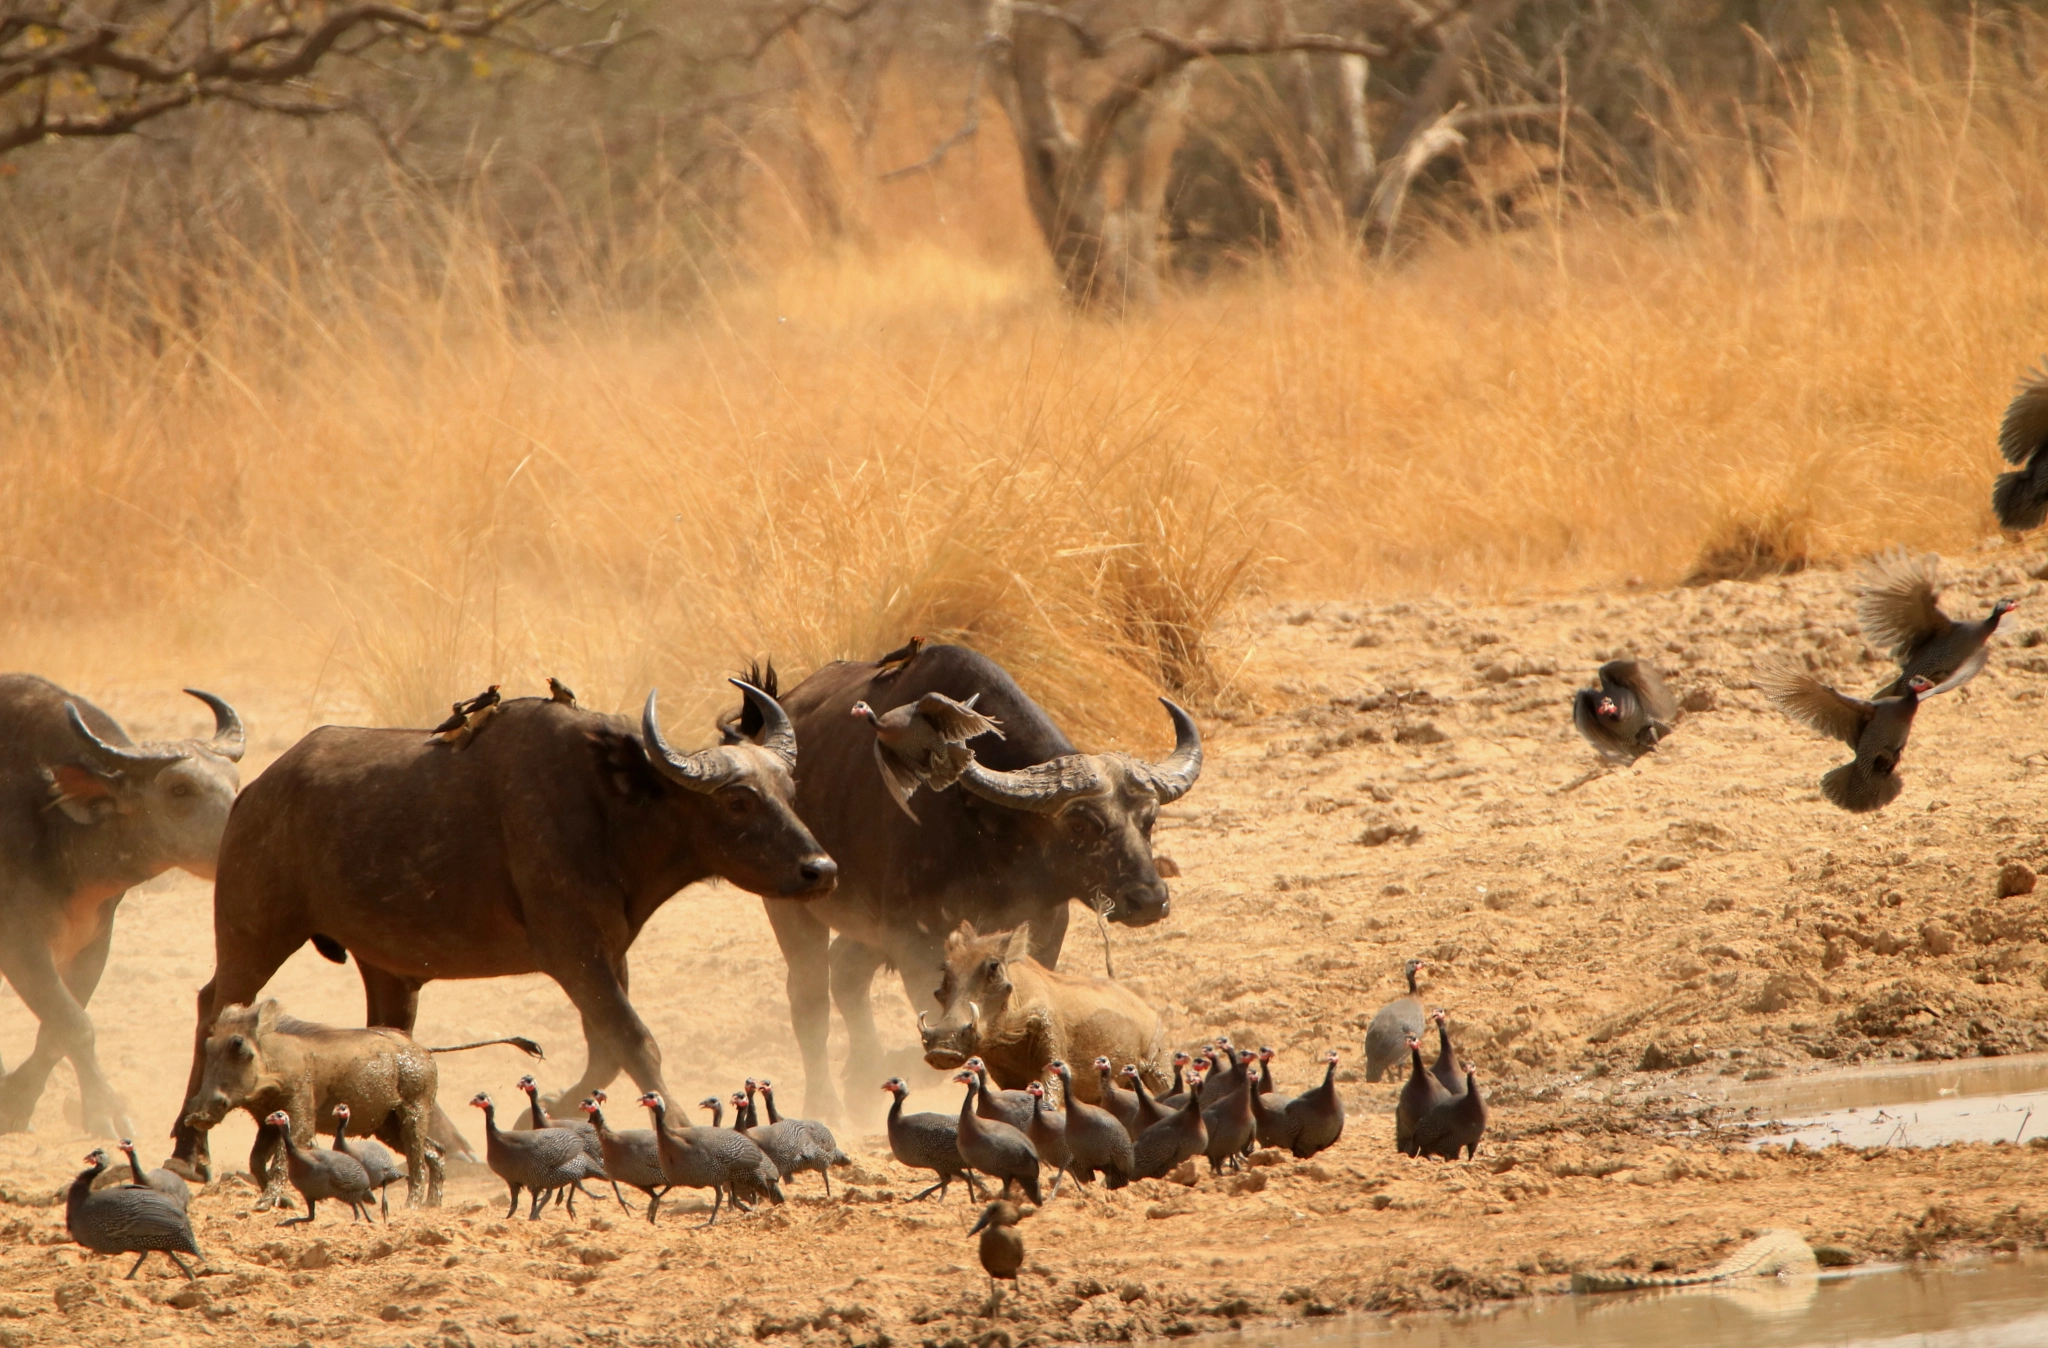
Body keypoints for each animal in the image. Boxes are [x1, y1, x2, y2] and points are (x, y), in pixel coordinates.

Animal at [0, 675, 244, 1138]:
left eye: (235, 783)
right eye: (179, 789)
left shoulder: (95, 936)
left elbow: (57, 1029)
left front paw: (17, 1098)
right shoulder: (19, 943)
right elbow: (75, 1023)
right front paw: (105, 1110)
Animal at [170, 681, 834, 1180]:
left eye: (788, 790)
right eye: (738, 800)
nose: (821, 869)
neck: (610, 807)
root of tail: (255, 794)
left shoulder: (606, 952)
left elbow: (606, 1048)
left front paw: (545, 1114)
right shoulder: (574, 951)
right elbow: (635, 1039)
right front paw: (677, 1128)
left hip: (385, 968)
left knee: (391, 1039)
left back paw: (449, 1146)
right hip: (254, 934)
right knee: (215, 1007)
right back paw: (189, 1148)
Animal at [726, 644, 1200, 1118]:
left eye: (1148, 820)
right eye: (1081, 824)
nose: (1150, 899)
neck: (988, 832)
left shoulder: (1042, 925)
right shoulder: (912, 937)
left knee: (845, 971)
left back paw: (863, 1078)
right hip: (794, 907)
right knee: (810, 999)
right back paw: (825, 1102)